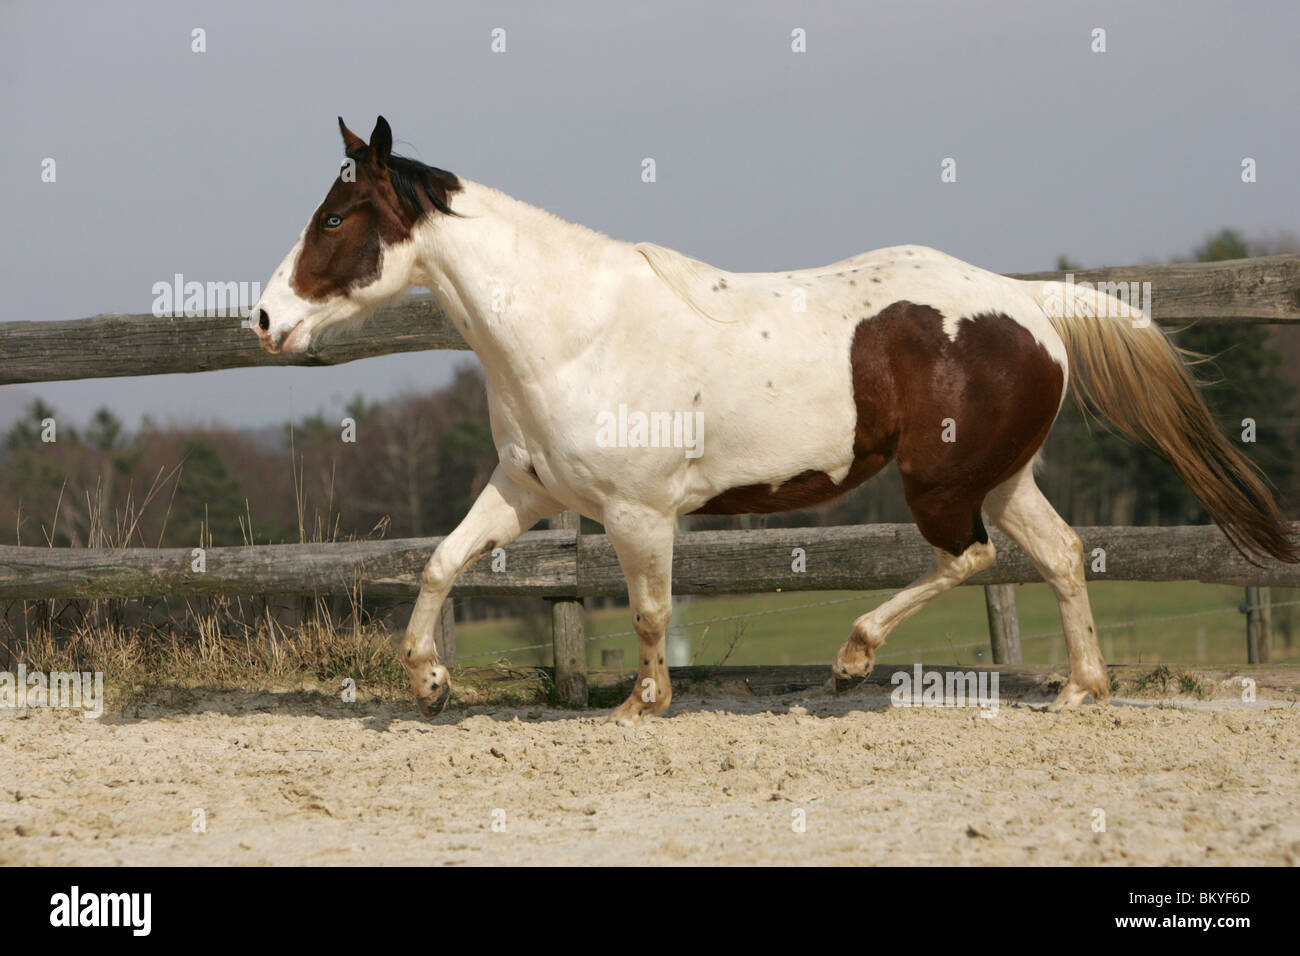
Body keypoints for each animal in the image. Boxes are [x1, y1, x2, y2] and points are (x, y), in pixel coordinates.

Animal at [251, 116, 1297, 722]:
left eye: (336, 219)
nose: (264, 319)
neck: (575, 328)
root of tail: (1030, 305)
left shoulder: (638, 513)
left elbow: (649, 610)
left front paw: (642, 705)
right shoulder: (524, 490)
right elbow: (440, 562)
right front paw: (428, 684)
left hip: (941, 482)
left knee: (971, 557)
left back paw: (851, 661)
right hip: (999, 477)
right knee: (1064, 554)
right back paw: (1082, 688)